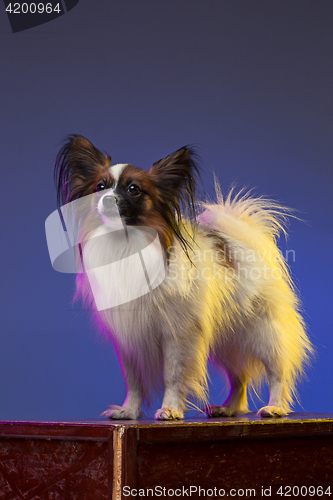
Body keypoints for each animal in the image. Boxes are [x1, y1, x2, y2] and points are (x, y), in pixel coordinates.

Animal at [53, 135, 312, 420]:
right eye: (100, 187)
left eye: (133, 189)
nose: (108, 199)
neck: (127, 244)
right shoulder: (130, 337)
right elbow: (134, 380)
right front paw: (128, 411)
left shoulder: (178, 334)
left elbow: (173, 375)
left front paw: (170, 409)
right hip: (227, 340)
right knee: (239, 375)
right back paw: (229, 408)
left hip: (263, 332)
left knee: (278, 371)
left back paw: (275, 407)